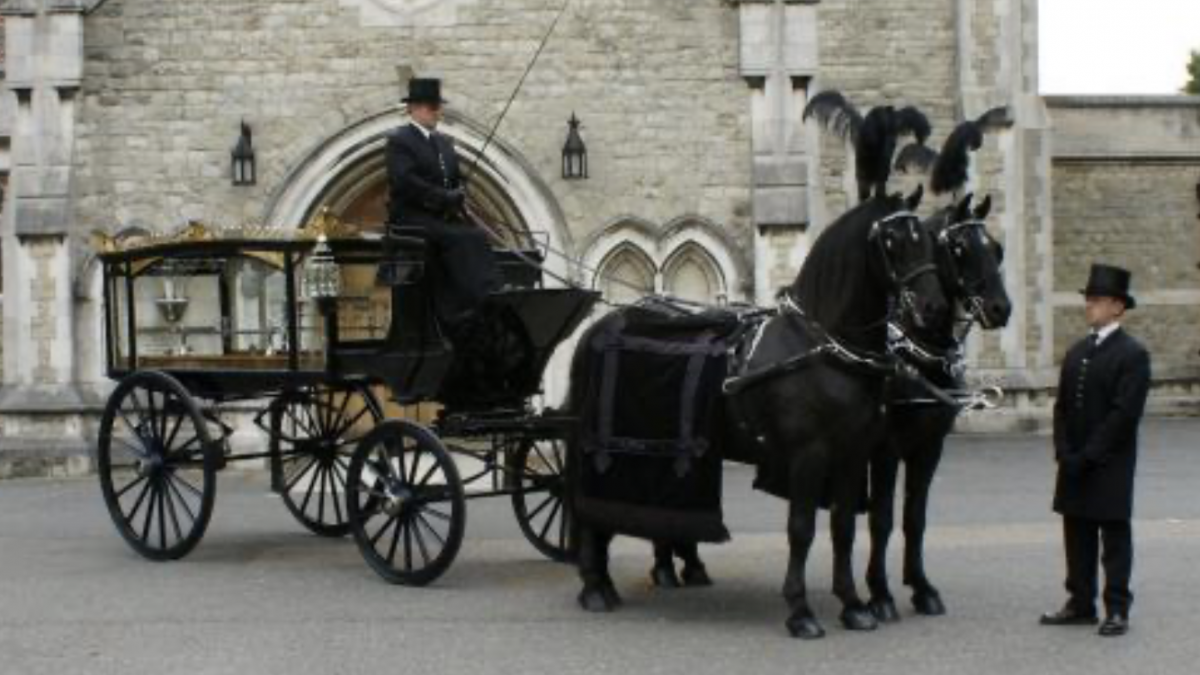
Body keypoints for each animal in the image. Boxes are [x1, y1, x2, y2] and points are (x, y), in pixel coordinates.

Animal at [568, 184, 945, 634]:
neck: (823, 349)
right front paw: (800, 610)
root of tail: (598, 327)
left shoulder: (853, 455)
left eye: (926, 239)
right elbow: (801, 529)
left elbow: (843, 527)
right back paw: (595, 586)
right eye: (891, 240)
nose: (931, 307)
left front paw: (854, 603)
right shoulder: (809, 454)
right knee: (585, 509)